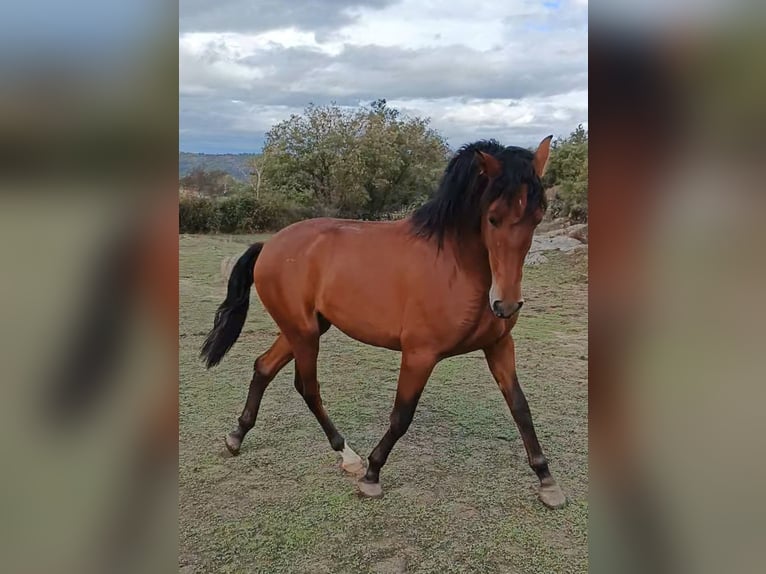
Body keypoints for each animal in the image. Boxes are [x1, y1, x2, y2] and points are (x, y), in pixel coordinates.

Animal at [201, 137, 568, 510]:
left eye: (537, 217)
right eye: (492, 219)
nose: (505, 306)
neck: (456, 267)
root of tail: (270, 245)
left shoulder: (498, 346)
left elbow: (520, 407)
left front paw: (547, 480)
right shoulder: (420, 354)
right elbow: (401, 415)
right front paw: (372, 475)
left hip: (304, 328)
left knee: (264, 367)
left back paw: (236, 437)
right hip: (304, 333)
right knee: (307, 387)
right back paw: (348, 456)